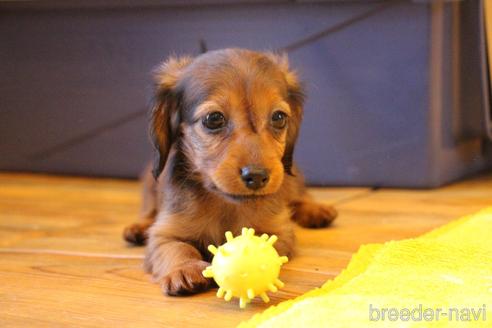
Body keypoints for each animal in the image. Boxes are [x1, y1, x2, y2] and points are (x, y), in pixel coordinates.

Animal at [123, 49, 338, 298]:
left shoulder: (279, 231)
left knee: (299, 196)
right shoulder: (164, 234)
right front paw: (184, 269)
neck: (224, 204)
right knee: (149, 211)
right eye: (214, 119)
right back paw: (139, 227)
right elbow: (177, 247)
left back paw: (316, 210)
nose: (257, 176)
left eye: (279, 117)